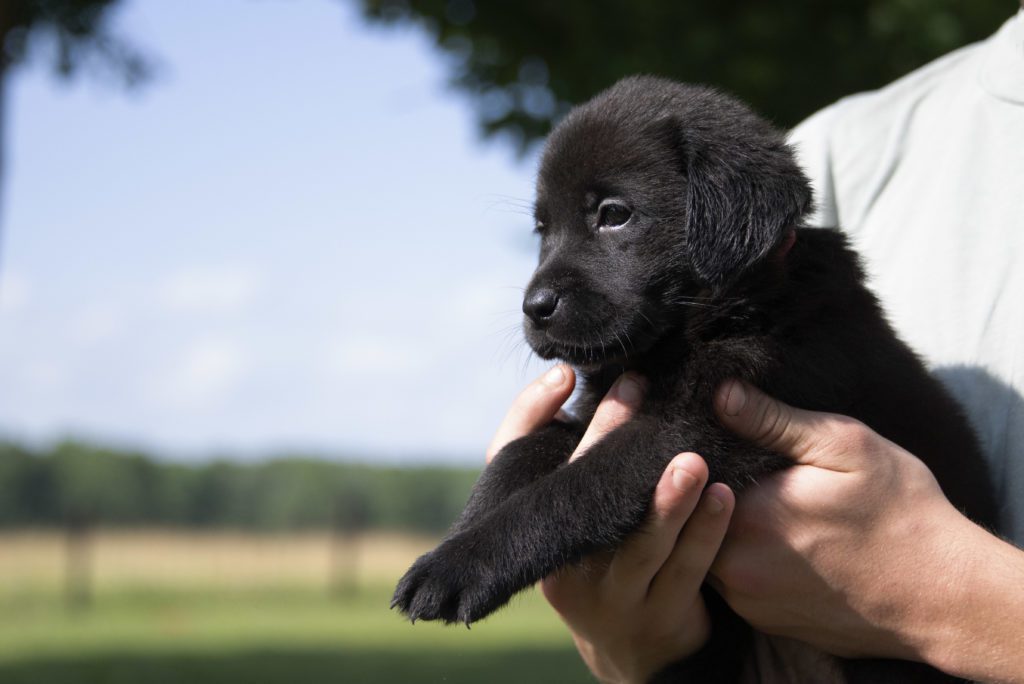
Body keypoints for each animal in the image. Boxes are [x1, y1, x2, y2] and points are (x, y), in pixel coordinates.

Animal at [389, 77, 991, 679]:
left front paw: (459, 566)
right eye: (543, 228)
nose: (534, 308)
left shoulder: (693, 428)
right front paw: (460, 534)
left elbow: (571, 490)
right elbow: (520, 454)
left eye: (614, 214)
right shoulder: (593, 415)